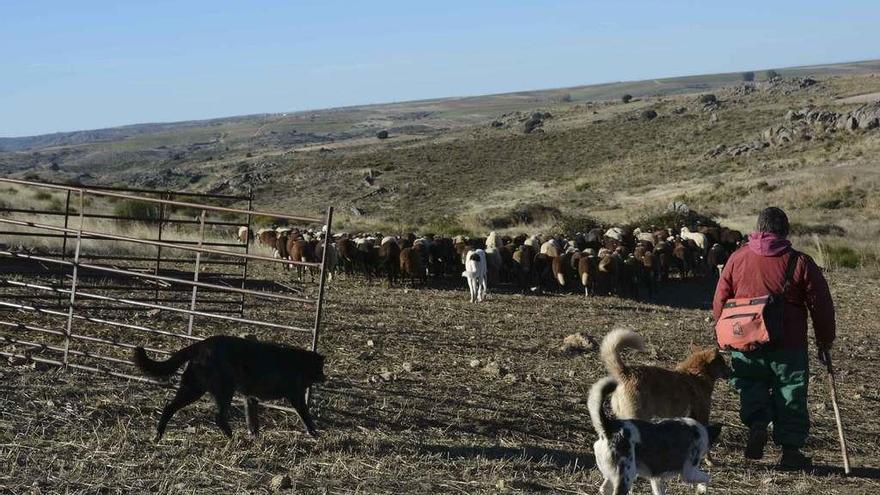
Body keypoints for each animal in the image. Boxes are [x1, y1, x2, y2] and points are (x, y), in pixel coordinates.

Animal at [136, 336, 328, 440]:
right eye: (320, 368)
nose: (325, 377)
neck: (298, 362)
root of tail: (201, 345)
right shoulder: (296, 396)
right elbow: (306, 416)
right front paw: (314, 433)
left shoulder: (250, 398)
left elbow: (252, 420)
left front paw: (254, 437)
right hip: (223, 390)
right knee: (219, 417)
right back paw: (231, 437)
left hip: (193, 388)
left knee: (169, 407)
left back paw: (158, 435)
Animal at [592, 378, 720, 494]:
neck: (700, 430)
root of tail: (609, 427)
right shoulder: (690, 472)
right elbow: (707, 478)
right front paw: (702, 488)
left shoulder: (656, 478)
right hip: (626, 477)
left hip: (611, 475)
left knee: (603, 489)